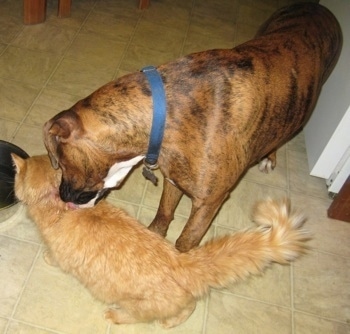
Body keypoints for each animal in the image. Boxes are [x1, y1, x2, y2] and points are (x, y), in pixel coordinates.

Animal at [12, 155, 308, 328]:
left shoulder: (58, 251)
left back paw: (116, 316)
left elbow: (53, 256)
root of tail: (182, 262)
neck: (56, 204)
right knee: (189, 307)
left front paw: (47, 258)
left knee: (142, 315)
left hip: (135, 304)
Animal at [43, 3, 342, 252]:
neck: (165, 113)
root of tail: (318, 6)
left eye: (63, 163)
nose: (62, 194)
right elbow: (164, 213)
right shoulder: (173, 179)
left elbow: (185, 241)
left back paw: (270, 156)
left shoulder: (208, 205)